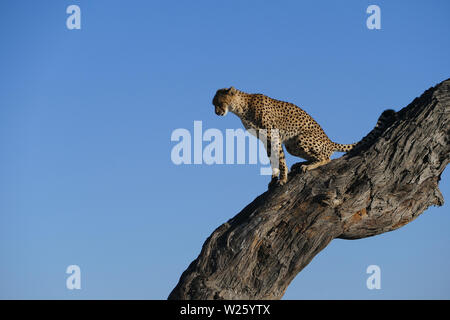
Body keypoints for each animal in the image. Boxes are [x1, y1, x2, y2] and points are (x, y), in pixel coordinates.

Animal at [213, 86, 396, 189]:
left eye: (219, 103)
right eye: (214, 104)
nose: (216, 112)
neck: (241, 108)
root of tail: (330, 141)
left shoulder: (274, 136)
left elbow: (280, 159)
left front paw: (282, 179)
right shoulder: (266, 140)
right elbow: (272, 159)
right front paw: (273, 179)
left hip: (301, 138)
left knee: (326, 158)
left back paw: (309, 166)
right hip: (292, 145)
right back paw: (301, 164)